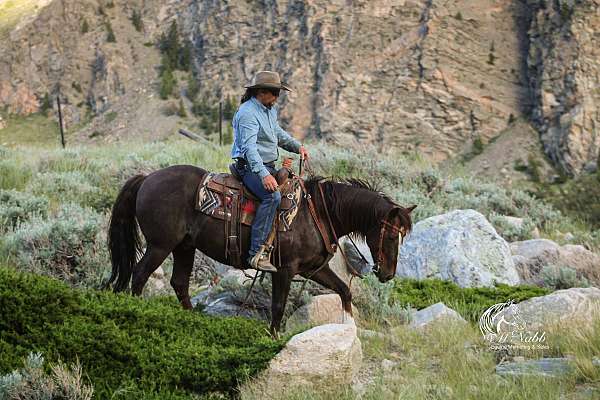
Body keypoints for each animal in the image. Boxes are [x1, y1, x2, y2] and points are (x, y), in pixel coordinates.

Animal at [105, 164, 414, 332]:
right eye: (390, 236)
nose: (388, 274)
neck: (317, 213)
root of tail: (147, 178)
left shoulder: (314, 269)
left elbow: (343, 290)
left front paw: (348, 325)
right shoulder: (284, 269)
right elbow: (278, 305)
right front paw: (274, 336)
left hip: (184, 247)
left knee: (179, 283)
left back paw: (194, 321)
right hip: (160, 245)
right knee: (139, 275)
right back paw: (136, 315)